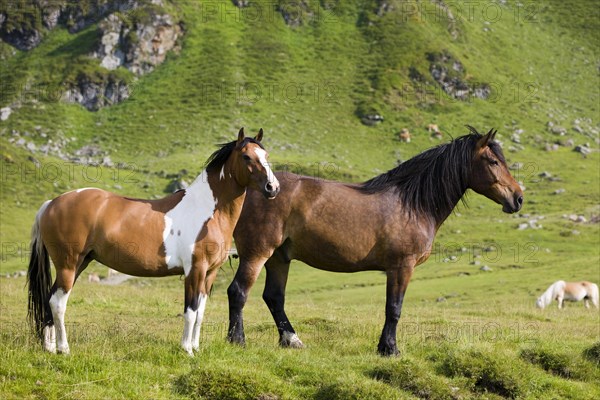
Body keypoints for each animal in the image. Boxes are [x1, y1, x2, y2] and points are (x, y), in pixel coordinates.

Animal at [27, 128, 280, 356]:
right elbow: (191, 310)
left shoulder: (210, 273)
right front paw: (187, 350)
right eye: (246, 156)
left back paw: (49, 348)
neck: (207, 211)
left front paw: (197, 348)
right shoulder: (195, 270)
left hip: (79, 264)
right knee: (58, 303)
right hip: (68, 265)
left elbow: (200, 313)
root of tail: (51, 204)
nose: (273, 188)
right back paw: (64, 349)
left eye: (266, 155)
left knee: (50, 300)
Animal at [227, 126, 524, 354]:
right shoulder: (401, 267)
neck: (412, 204)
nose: (518, 198)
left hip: (279, 257)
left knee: (274, 297)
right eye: (494, 162)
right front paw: (389, 349)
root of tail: (254, 189)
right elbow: (394, 309)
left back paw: (292, 341)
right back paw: (236, 340)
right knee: (238, 291)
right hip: (257, 253)